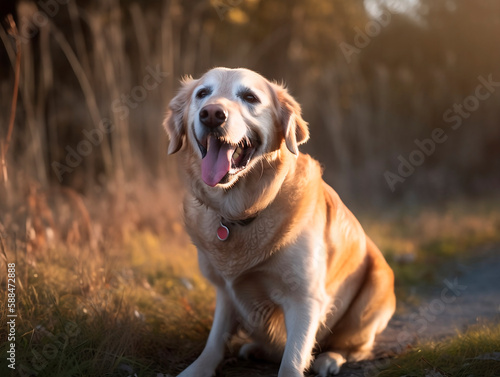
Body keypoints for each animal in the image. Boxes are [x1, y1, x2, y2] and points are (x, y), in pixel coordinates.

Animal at [166, 68, 396, 376]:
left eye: (250, 97)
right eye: (203, 93)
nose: (212, 114)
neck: (241, 211)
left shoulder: (305, 298)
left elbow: (293, 359)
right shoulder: (225, 292)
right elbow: (215, 340)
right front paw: (197, 368)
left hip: (374, 291)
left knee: (356, 348)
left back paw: (329, 359)